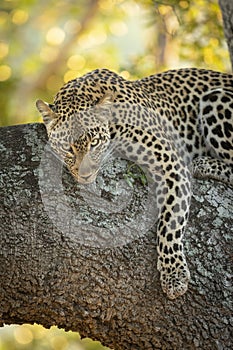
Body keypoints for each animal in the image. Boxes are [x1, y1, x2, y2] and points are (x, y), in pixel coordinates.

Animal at [36, 68, 233, 300]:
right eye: (68, 148)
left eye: (94, 143)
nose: (85, 174)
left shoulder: (171, 163)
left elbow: (170, 221)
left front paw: (174, 273)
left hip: (215, 98)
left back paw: (204, 164)